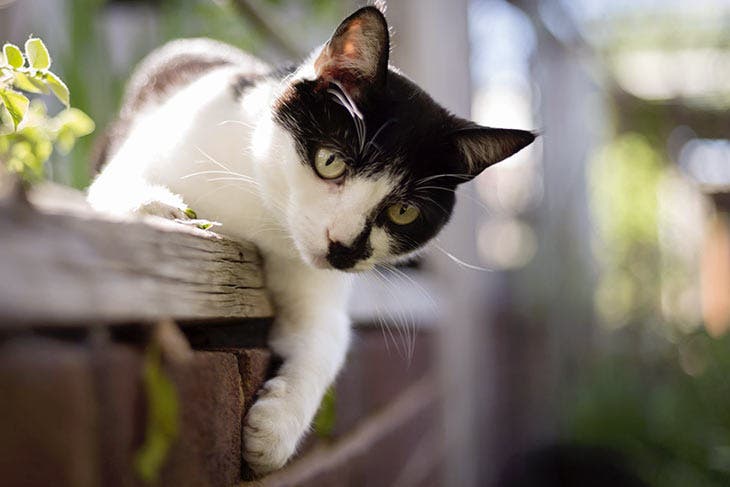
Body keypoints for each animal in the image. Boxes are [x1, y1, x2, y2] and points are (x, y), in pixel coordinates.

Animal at [89, 3, 536, 476]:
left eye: (403, 212)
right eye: (330, 161)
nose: (345, 247)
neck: (263, 209)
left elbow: (324, 337)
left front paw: (273, 432)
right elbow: (117, 183)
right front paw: (159, 207)